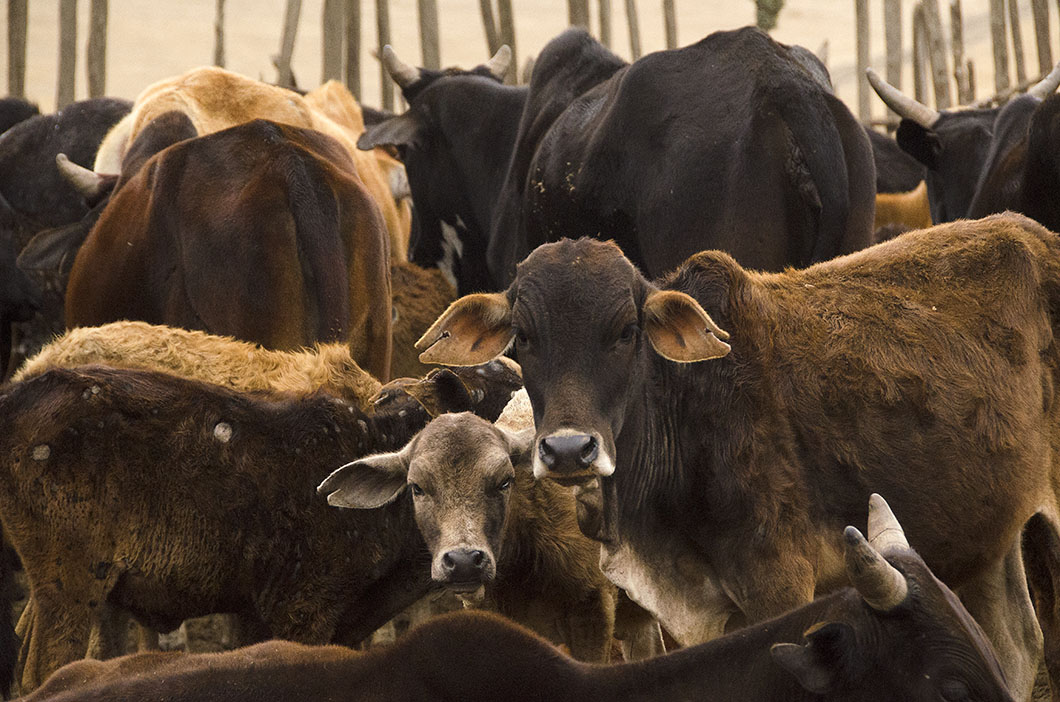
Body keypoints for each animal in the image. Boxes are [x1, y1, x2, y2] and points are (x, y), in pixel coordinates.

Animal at [0, 361, 521, 693]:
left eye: (504, 479)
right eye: (418, 485)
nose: (464, 561)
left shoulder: (261, 614)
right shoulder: (302, 608)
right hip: (70, 586)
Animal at [414, 214, 1060, 701]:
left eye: (626, 331)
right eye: (524, 336)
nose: (570, 449)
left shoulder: (780, 581)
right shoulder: (700, 612)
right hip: (987, 538)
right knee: (1016, 642)